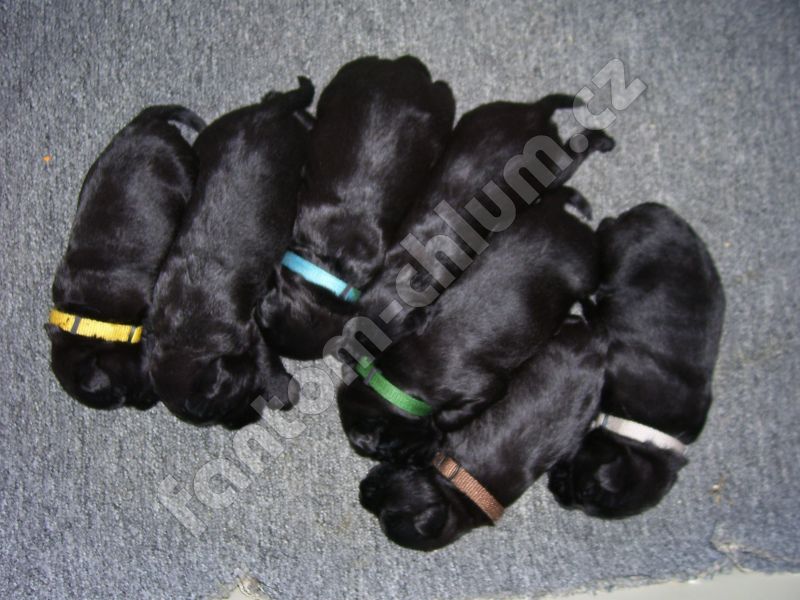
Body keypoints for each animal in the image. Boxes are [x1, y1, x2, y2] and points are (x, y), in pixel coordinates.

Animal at [146, 79, 313, 429]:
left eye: (227, 404)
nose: (246, 421)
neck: (189, 335)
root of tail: (264, 114)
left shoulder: (248, 329)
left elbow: (265, 357)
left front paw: (282, 389)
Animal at [337, 187, 600, 463]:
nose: (433, 454)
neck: (396, 383)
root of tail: (558, 210)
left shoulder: (486, 388)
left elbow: (445, 418)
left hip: (586, 271)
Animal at [547, 203, 725, 518]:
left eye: (584, 497)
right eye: (586, 489)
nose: (559, 497)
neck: (642, 430)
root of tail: (655, 210)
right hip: (615, 252)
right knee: (605, 228)